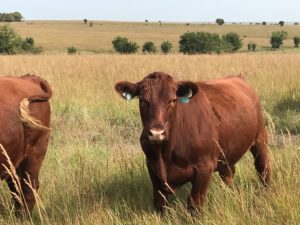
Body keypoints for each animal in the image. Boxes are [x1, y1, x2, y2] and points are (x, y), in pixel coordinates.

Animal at [115, 71, 270, 213]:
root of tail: (237, 77)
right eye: (142, 101)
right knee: (228, 174)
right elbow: (160, 203)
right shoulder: (152, 168)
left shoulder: (204, 168)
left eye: (173, 100)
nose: (156, 133)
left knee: (263, 168)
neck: (165, 154)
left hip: (260, 140)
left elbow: (195, 204)